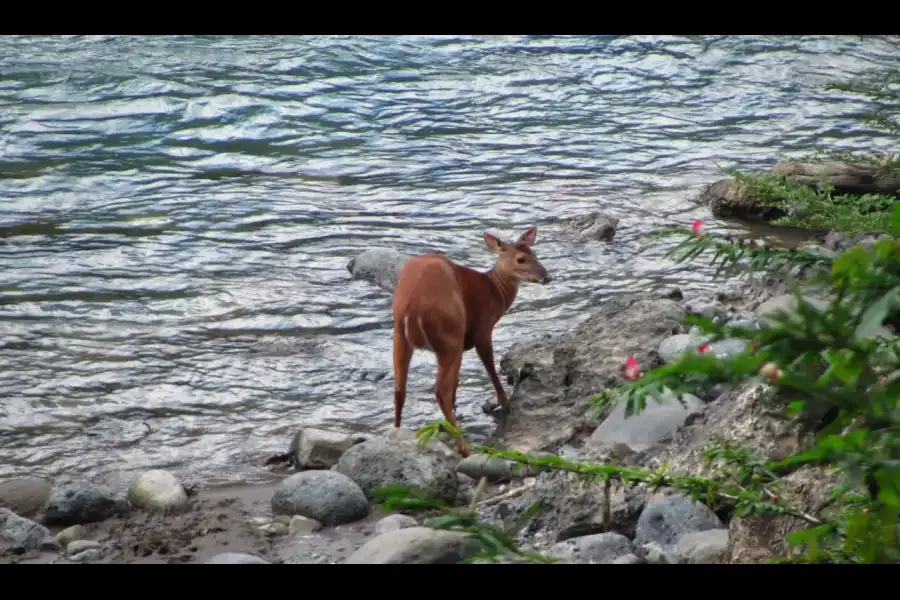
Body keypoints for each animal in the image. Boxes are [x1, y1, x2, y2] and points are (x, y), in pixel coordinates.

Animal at [390, 227, 552, 458]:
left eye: (535, 254)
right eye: (521, 259)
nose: (547, 276)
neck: (494, 291)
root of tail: (411, 308)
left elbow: (457, 383)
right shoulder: (482, 330)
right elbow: (490, 367)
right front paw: (504, 402)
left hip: (401, 337)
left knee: (399, 389)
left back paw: (397, 433)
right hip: (450, 336)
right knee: (440, 391)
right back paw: (463, 446)